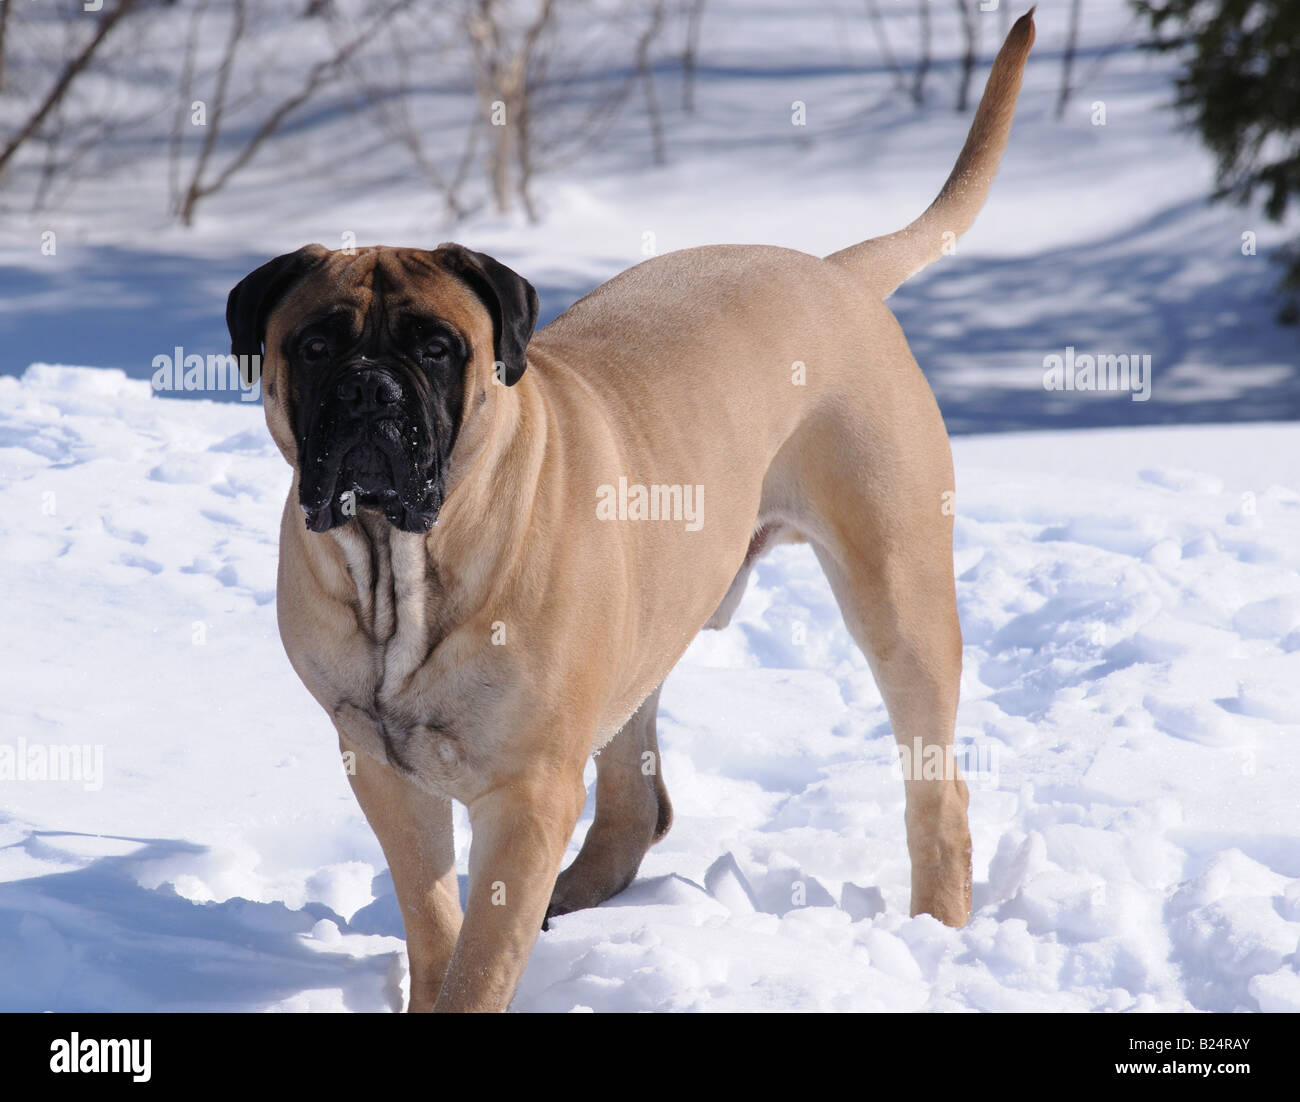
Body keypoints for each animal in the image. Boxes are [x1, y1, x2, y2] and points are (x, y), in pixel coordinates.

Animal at [226, 12, 1034, 1013]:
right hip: (652, 620)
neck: (403, 569)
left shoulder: (528, 794)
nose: (370, 390)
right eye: (315, 344)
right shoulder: (380, 766)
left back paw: (937, 929)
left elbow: (479, 955)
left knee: (937, 787)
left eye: (437, 346)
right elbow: (435, 921)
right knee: (634, 799)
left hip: (899, 595)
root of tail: (835, 272)